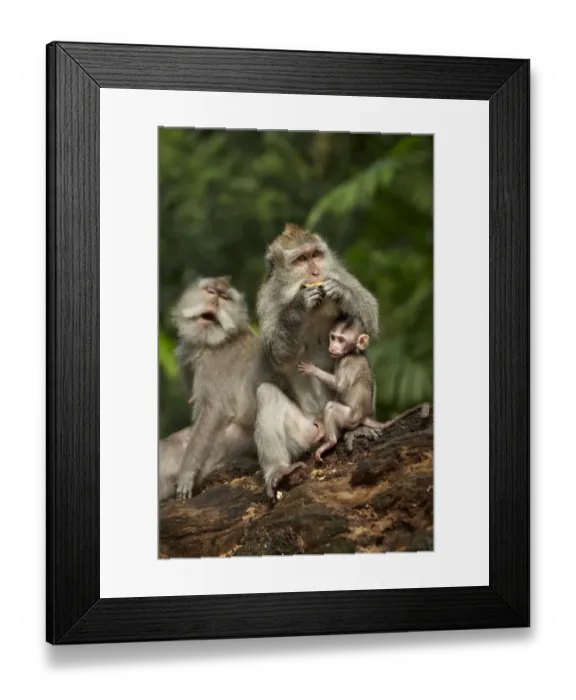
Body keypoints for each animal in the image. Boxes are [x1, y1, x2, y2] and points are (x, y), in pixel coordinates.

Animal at [158, 276, 259, 501]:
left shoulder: (215, 363)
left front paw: (186, 473)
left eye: (224, 297)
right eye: (211, 292)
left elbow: (213, 411)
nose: (214, 302)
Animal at [253, 223, 380, 501]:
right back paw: (278, 470)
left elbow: (370, 316)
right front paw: (298, 306)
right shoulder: (268, 301)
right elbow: (274, 353)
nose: (315, 272)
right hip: (306, 434)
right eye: (301, 259)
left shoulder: (340, 274)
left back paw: (359, 428)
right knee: (266, 394)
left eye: (316, 255)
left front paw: (342, 294)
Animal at [297, 314, 393, 462]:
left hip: (351, 418)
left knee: (331, 408)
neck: (351, 352)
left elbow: (339, 386)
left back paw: (331, 442)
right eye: (333, 337)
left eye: (341, 340)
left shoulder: (348, 362)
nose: (333, 346)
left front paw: (311, 369)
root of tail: (364, 416)